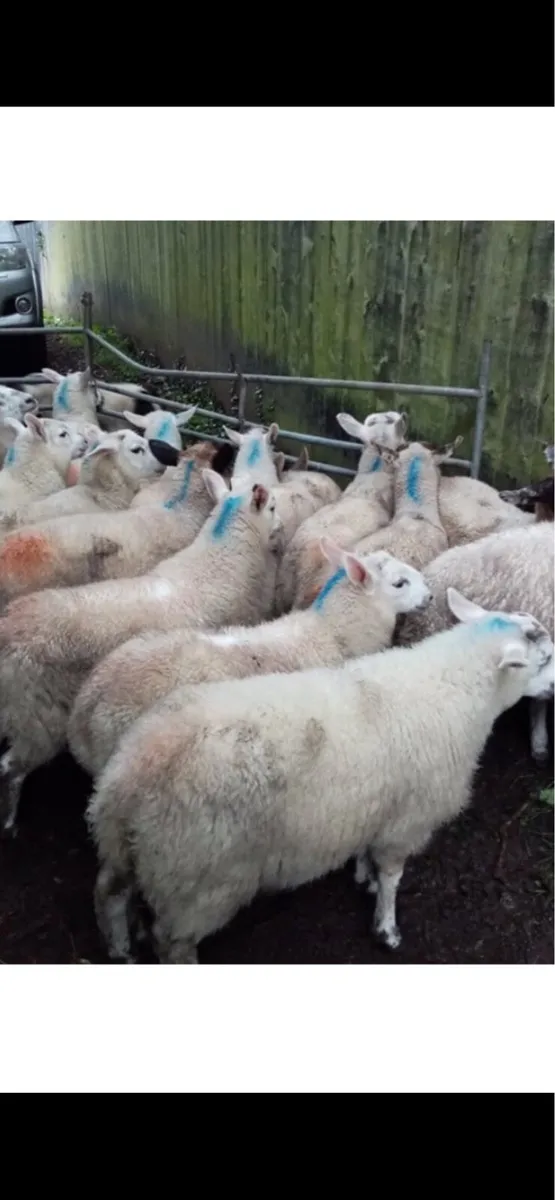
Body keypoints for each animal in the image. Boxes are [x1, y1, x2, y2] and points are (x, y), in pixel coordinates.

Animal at [0, 473, 283, 835]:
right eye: (272, 506)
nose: (283, 528)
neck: (220, 562)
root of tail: (8, 628)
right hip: (36, 717)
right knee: (11, 767)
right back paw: (9, 821)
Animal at [85, 588, 554, 963]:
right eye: (545, 658)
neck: (455, 687)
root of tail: (134, 772)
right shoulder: (408, 819)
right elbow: (393, 876)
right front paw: (386, 928)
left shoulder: (377, 805)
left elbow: (368, 855)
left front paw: (362, 877)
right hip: (197, 880)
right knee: (171, 942)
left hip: (128, 849)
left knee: (109, 891)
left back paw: (120, 949)